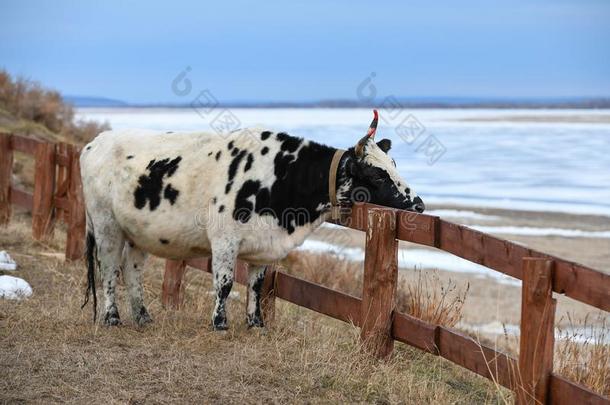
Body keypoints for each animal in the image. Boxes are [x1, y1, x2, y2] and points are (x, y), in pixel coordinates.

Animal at [79, 109, 422, 328]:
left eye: (394, 164)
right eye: (376, 176)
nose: (418, 205)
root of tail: (94, 143)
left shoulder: (264, 245)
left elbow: (256, 285)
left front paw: (255, 323)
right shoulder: (224, 239)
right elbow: (225, 283)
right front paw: (220, 323)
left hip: (139, 233)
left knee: (131, 270)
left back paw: (143, 317)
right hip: (107, 226)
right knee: (109, 268)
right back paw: (111, 317)